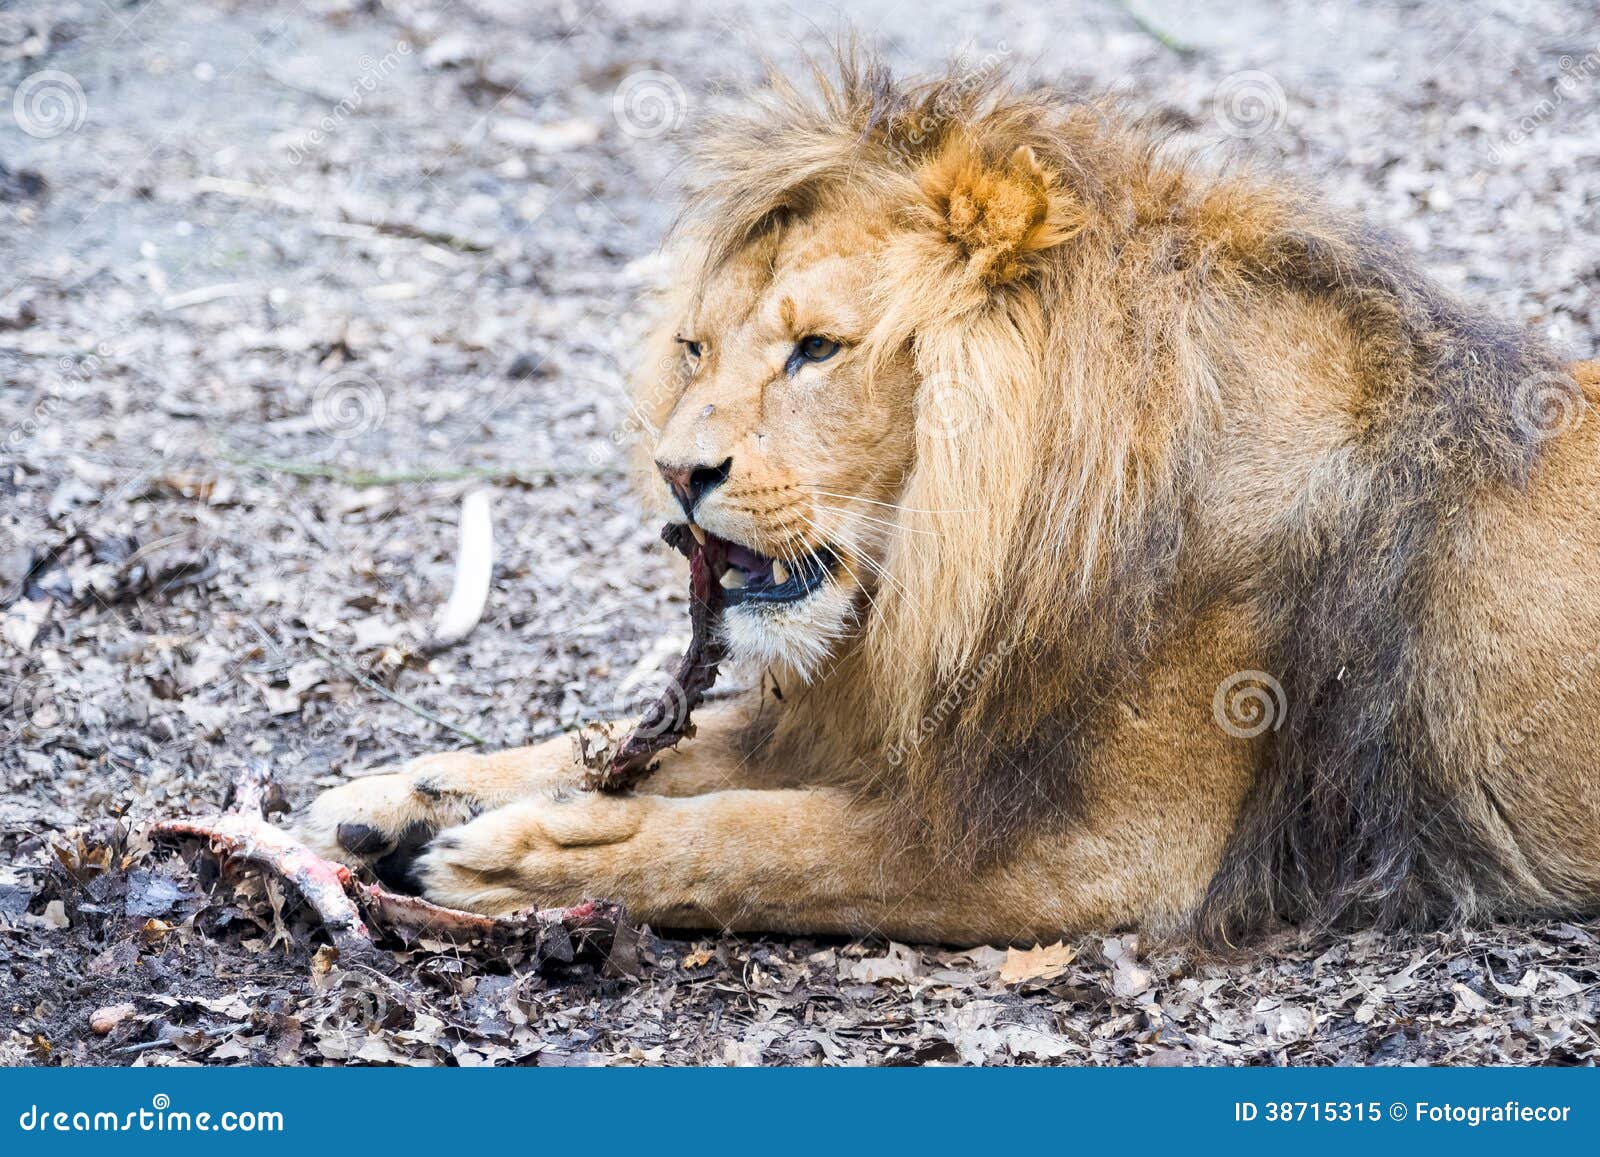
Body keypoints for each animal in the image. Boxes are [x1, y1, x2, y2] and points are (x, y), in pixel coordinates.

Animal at [300, 49, 1600, 947]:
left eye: (815, 350)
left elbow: (778, 843)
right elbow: (668, 747)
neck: (974, 554)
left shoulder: (1110, 849)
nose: (677, 472)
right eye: (692, 348)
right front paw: (397, 794)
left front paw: (519, 859)